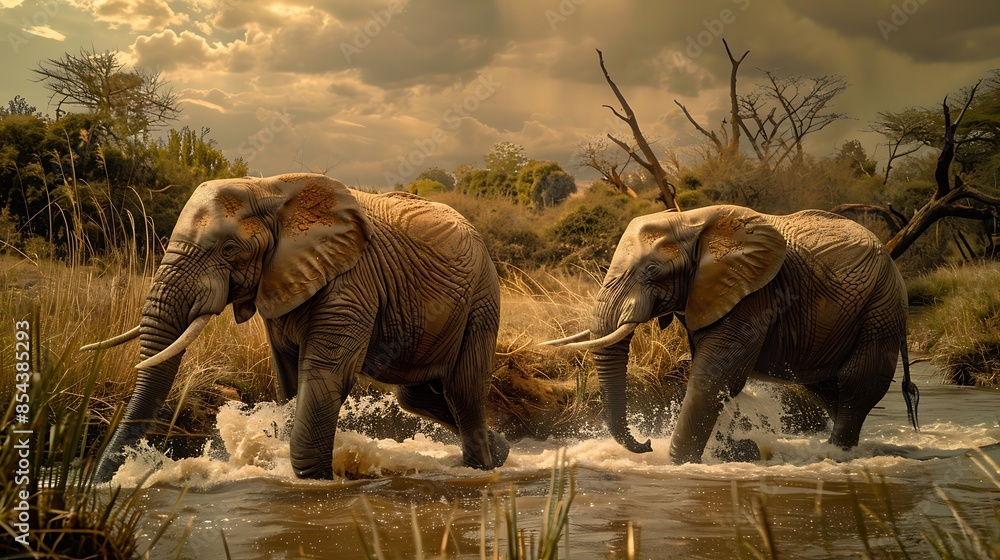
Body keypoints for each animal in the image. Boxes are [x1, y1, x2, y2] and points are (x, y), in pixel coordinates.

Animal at [83, 173, 508, 481]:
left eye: (229, 250)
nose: (103, 482)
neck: (269, 189)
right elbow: (288, 377)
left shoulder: (352, 282)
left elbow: (324, 376)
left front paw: (313, 480)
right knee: (417, 396)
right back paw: (500, 449)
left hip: (483, 298)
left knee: (462, 389)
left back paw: (481, 467)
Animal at [542, 205, 919, 464]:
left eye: (651, 270)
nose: (645, 444)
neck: (692, 222)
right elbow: (718, 378)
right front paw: (736, 451)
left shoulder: (754, 294)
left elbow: (713, 375)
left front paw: (681, 463)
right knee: (828, 389)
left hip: (882, 308)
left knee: (857, 384)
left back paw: (837, 455)